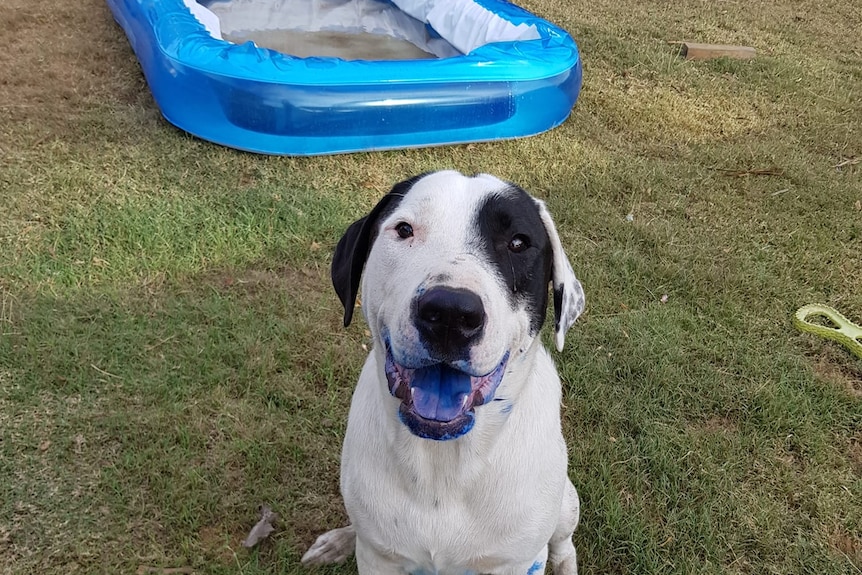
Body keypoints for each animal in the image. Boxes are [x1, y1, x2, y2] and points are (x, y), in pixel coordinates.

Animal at [302, 169, 588, 572]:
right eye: (404, 229)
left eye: (518, 242)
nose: (451, 314)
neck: (444, 462)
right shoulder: (378, 558)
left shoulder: (516, 560)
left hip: (564, 502)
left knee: (564, 544)